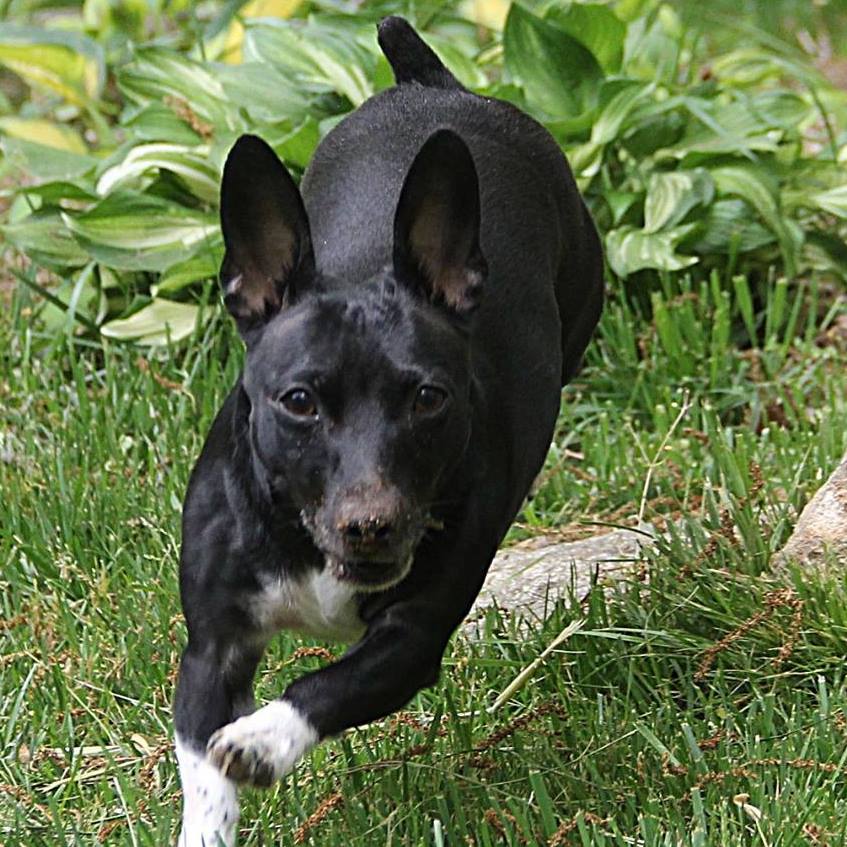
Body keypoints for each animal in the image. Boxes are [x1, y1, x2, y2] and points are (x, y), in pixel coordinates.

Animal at [173, 15, 603, 845]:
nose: (371, 523)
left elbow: (327, 682)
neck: (308, 539)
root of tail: (432, 84)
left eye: (428, 399)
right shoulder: (211, 646)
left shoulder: (410, 639)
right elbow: (204, 774)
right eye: (299, 401)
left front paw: (263, 737)